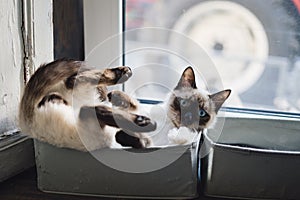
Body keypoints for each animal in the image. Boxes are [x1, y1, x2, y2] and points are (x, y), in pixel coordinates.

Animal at [18, 58, 156, 151]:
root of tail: (27, 124)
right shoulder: (90, 114)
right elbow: (120, 113)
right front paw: (145, 122)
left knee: (74, 80)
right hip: (69, 95)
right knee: (73, 79)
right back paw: (123, 74)